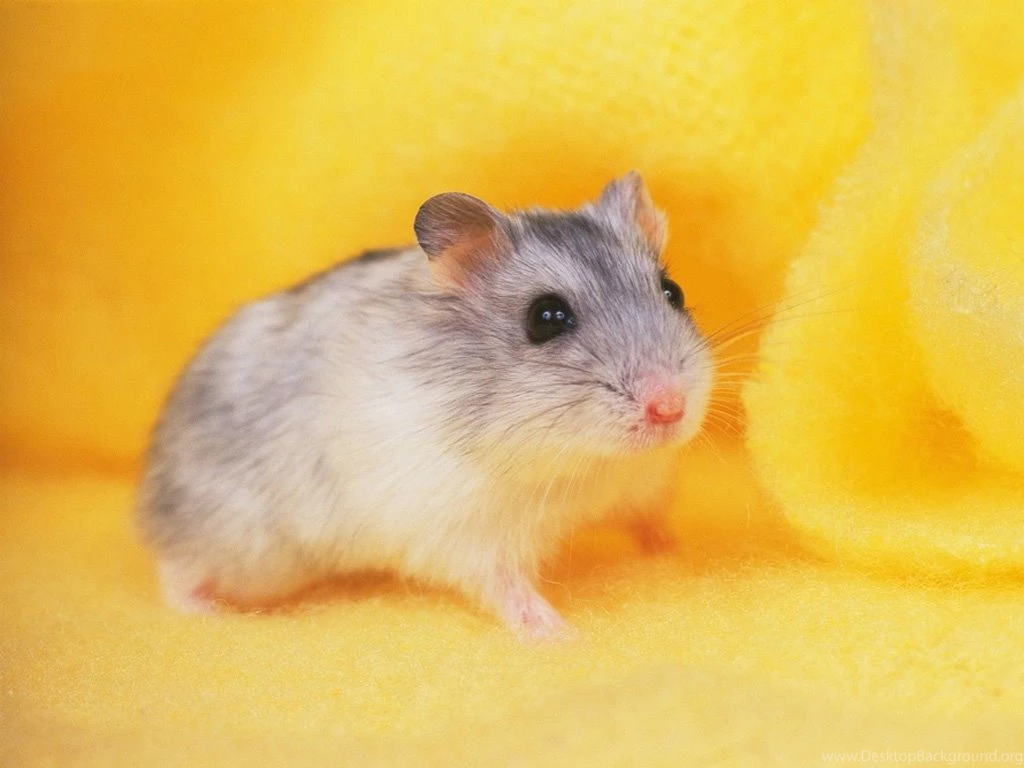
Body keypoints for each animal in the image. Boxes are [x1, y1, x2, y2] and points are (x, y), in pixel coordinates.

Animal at [136, 172, 713, 639]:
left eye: (674, 291)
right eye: (546, 318)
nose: (669, 408)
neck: (586, 463)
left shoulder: (641, 484)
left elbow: (651, 522)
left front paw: (679, 554)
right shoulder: (468, 532)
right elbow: (507, 587)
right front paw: (561, 636)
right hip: (240, 545)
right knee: (174, 569)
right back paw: (204, 613)